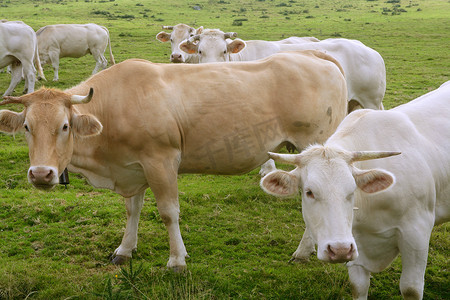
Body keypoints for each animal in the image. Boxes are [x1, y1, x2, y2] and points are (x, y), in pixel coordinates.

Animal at [0, 49, 348, 270]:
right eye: (27, 127)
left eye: (65, 126)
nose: (41, 174)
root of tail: (313, 54)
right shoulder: (133, 167)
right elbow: (133, 210)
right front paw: (125, 249)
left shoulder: (161, 160)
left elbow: (169, 212)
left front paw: (177, 260)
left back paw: (303, 252)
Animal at [260, 81, 450, 298]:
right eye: (309, 192)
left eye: (352, 190)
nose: (339, 250)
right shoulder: (354, 241)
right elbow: (358, 286)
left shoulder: (417, 231)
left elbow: (410, 288)